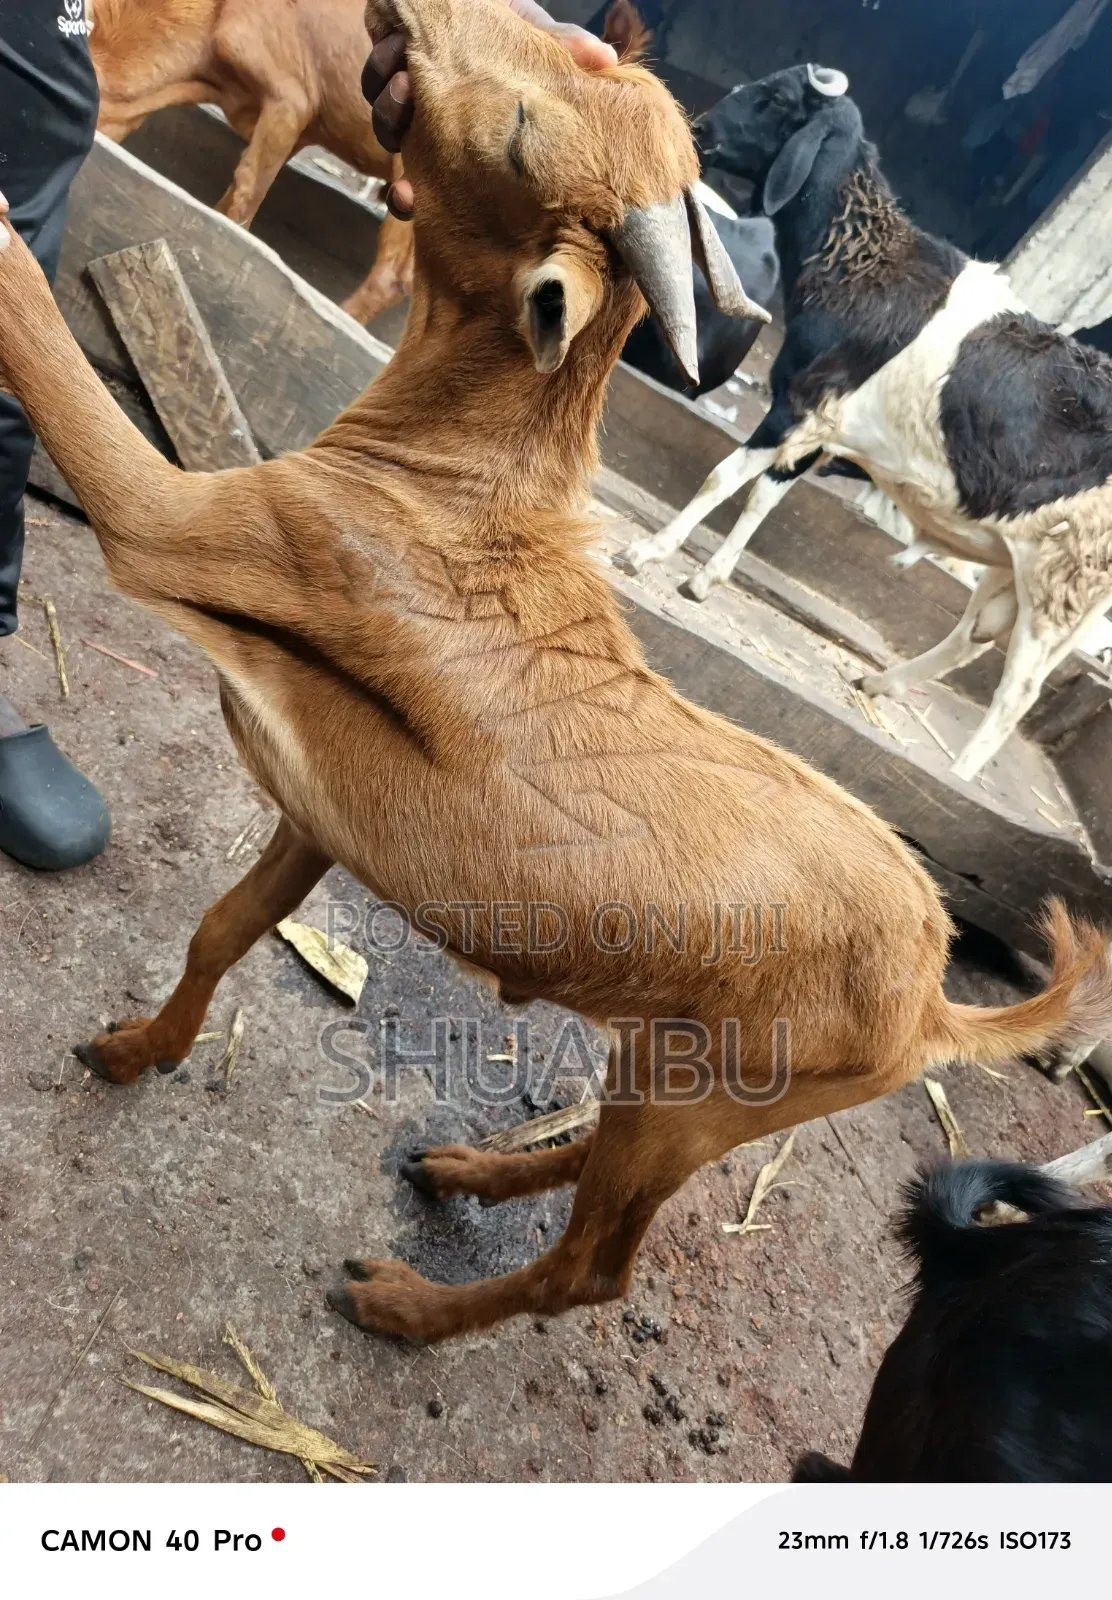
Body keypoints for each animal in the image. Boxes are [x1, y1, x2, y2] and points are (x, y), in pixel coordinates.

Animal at [622, 64, 1112, 782]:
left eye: (775, 99)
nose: (699, 129)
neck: (861, 262)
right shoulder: (822, 421)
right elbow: (763, 496)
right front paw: (705, 580)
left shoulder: (801, 401)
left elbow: (724, 478)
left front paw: (648, 552)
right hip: (1022, 564)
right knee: (974, 636)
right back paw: (879, 685)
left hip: (1065, 586)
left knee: (1018, 691)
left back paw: (957, 775)